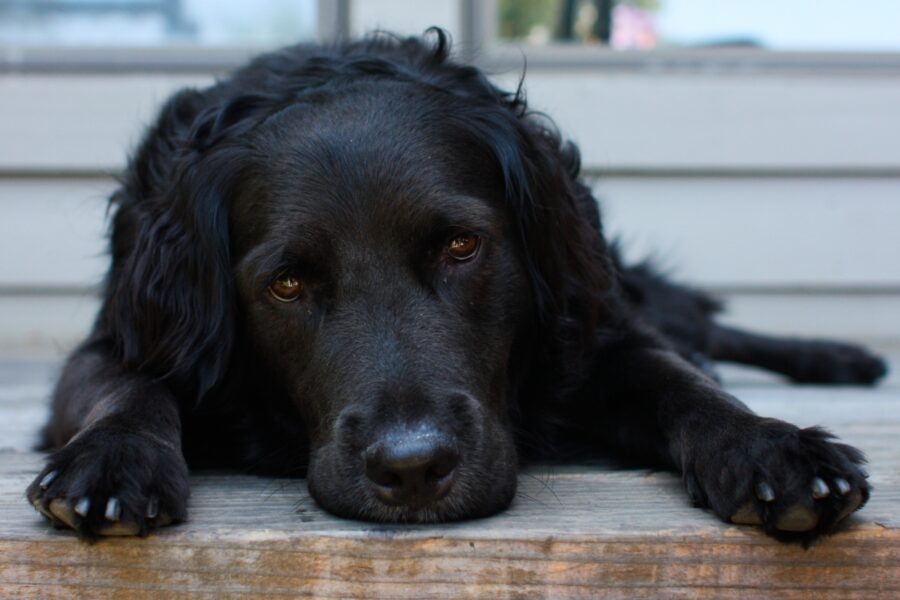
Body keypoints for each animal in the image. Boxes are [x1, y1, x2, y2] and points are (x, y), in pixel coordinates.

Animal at [26, 29, 884, 544]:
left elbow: (680, 380)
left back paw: (841, 357)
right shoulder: (124, 336)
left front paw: (768, 444)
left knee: (702, 329)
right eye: (288, 283)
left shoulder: (593, 334)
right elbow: (127, 388)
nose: (412, 469)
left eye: (462, 246)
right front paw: (113, 460)